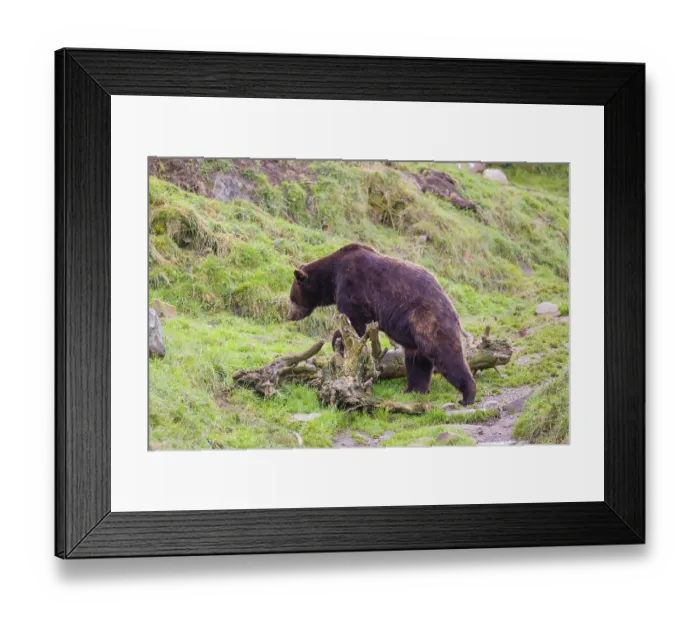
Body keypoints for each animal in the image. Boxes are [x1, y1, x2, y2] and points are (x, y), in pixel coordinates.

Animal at [287, 243, 477, 405]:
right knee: (417, 359)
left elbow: (354, 323)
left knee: (445, 354)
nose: (289, 315)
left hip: (428, 320)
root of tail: (453, 310)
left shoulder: (353, 286)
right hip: (415, 331)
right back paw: (414, 389)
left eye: (292, 297)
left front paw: (338, 344)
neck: (331, 278)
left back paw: (467, 395)